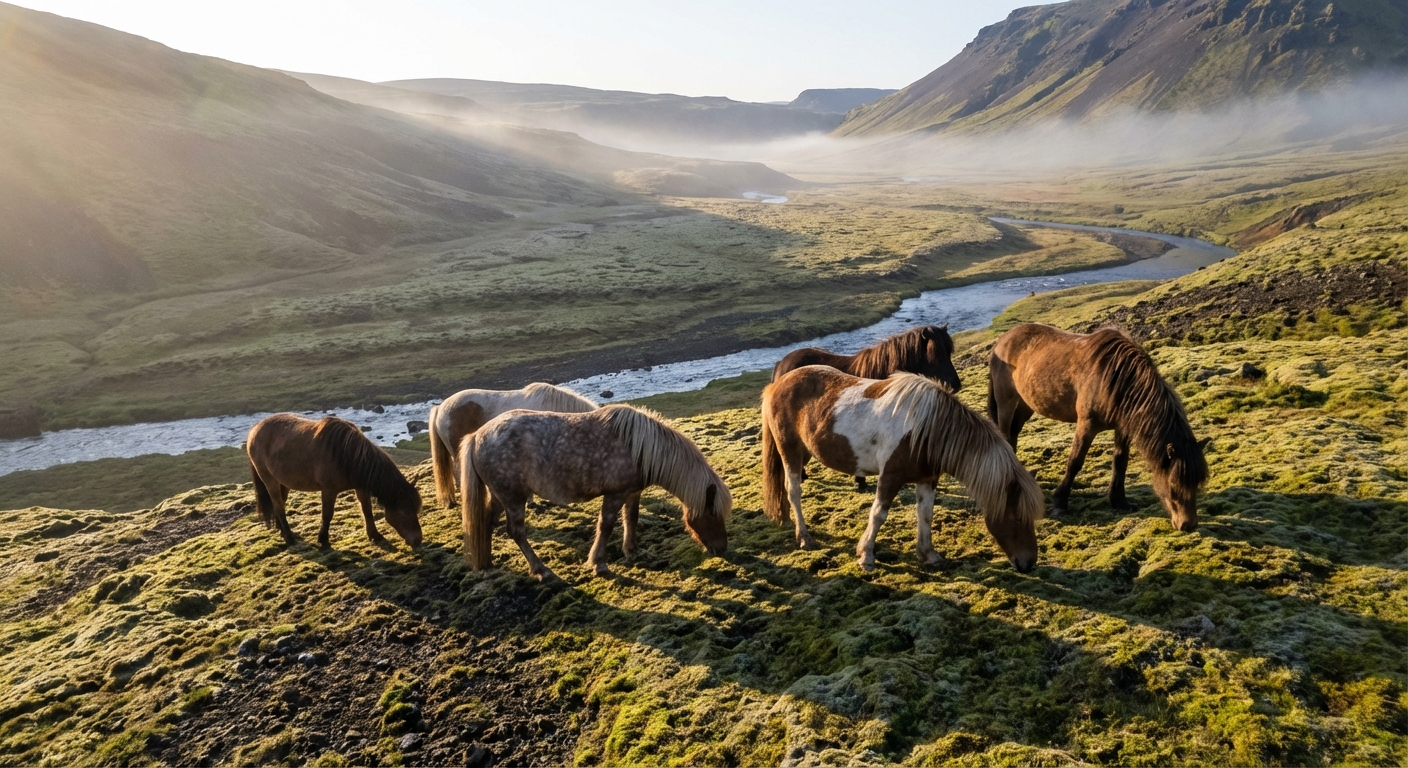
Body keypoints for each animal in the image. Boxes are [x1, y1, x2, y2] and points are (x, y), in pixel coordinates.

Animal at [246, 414, 424, 548]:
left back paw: (282, 531)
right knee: (278, 505)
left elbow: (367, 510)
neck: (346, 455)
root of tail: (254, 429)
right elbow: (327, 514)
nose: (418, 540)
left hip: (283, 482)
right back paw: (289, 537)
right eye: (404, 512)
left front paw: (374, 535)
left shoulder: (361, 488)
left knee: (279, 504)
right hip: (269, 480)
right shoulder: (328, 490)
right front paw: (323, 539)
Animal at [459, 404, 730, 580]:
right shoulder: (615, 494)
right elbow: (606, 526)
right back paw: (541, 570)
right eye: (713, 514)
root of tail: (477, 435)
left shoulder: (632, 493)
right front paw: (599, 564)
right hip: (514, 499)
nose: (722, 549)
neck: (639, 447)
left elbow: (631, 519)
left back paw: (487, 564)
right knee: (516, 532)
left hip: (499, 497)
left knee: (487, 522)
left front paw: (632, 551)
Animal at [762, 366, 1045, 573]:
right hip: (790, 451)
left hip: (806, 453)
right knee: (793, 491)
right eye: (1017, 517)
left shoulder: (927, 479)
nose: (1029, 563)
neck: (927, 429)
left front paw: (928, 554)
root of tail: (777, 384)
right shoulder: (890, 477)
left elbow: (925, 514)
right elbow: (878, 514)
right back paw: (804, 537)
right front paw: (866, 555)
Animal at [987, 323, 1208, 530]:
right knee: (1006, 434)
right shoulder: (1086, 424)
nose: (1188, 525)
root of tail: (1001, 341)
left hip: (1027, 404)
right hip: (1006, 402)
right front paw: (1060, 502)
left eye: (1197, 484)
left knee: (1014, 432)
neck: (1116, 379)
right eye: (1173, 486)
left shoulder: (1122, 427)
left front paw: (1119, 501)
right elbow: (1075, 462)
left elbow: (1120, 461)